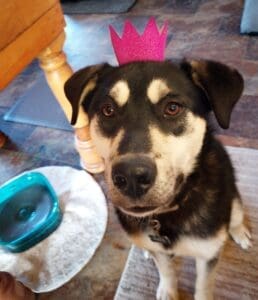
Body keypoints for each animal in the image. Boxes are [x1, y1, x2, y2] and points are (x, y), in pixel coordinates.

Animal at [64, 59, 252, 298]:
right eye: (108, 110)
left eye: (172, 108)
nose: (131, 176)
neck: (169, 212)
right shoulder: (160, 251)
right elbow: (166, 270)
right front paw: (168, 291)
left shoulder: (207, 254)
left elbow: (203, 286)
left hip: (233, 199)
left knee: (236, 215)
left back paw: (240, 232)